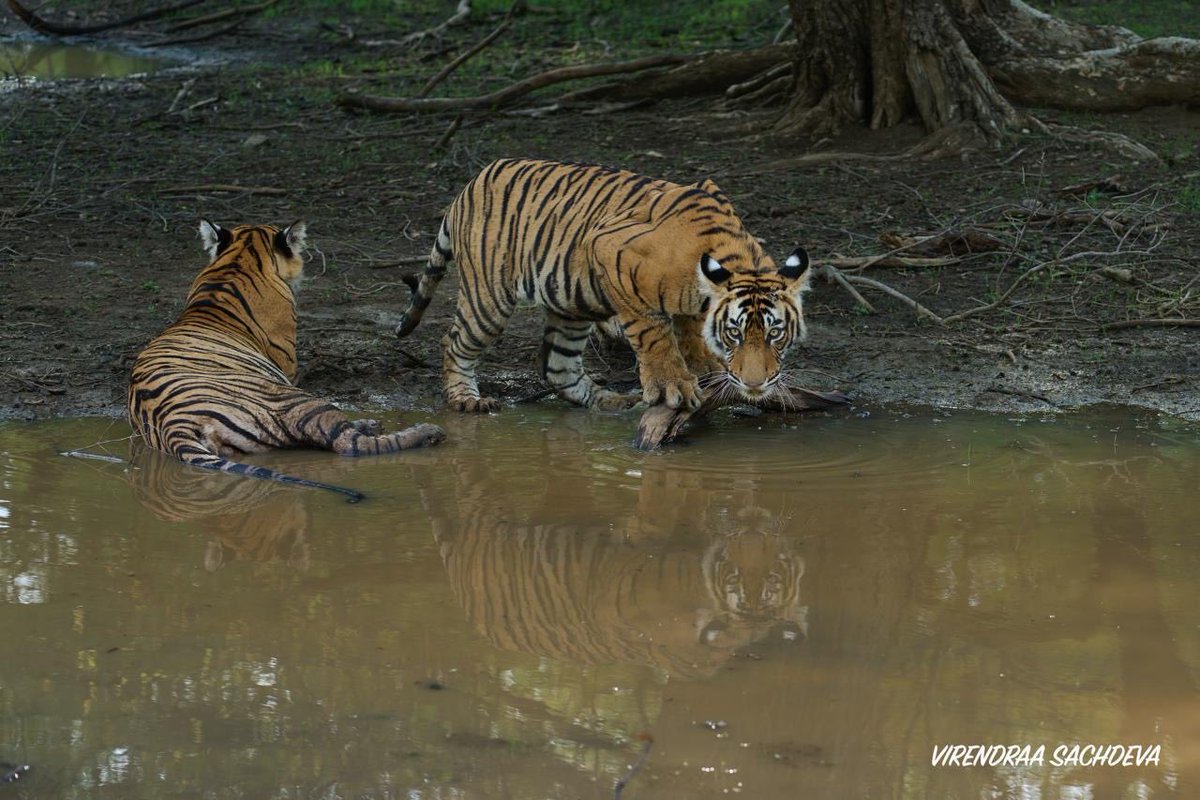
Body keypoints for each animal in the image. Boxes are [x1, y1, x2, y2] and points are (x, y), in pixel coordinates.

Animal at [128, 220, 446, 502]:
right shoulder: (288, 363)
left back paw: (372, 423)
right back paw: (426, 432)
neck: (236, 261)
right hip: (296, 400)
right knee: (351, 444)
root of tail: (172, 425)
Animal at [395, 158, 812, 413]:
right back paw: (466, 399)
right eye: (735, 333)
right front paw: (673, 385)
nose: (755, 384)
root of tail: (471, 182)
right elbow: (653, 331)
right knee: (452, 344)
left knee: (557, 366)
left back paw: (610, 401)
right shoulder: (610, 248)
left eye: (776, 334)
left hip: (571, 303)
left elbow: (688, 328)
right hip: (489, 299)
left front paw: (704, 363)